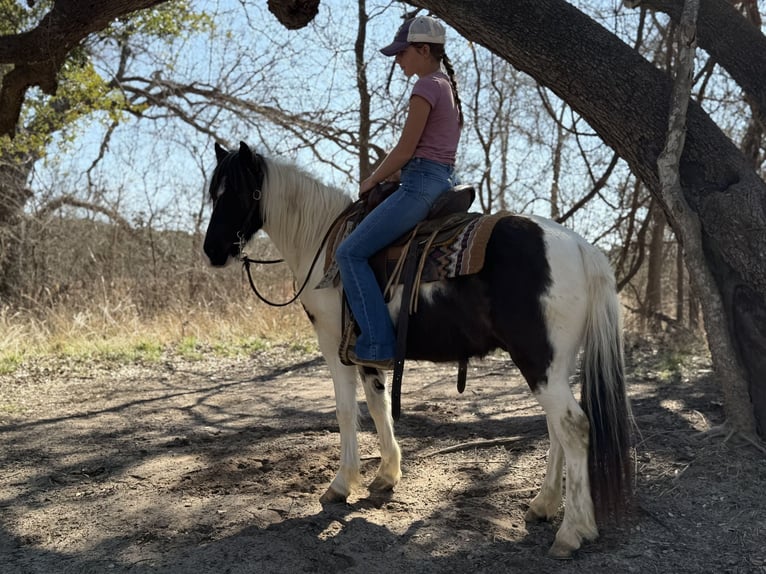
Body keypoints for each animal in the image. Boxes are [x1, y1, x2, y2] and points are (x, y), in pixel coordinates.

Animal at [203, 141, 633, 558]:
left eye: (236, 192)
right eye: (213, 193)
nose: (211, 251)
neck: (323, 246)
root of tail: (579, 247)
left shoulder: (332, 343)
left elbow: (345, 412)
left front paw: (341, 484)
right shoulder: (365, 351)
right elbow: (378, 406)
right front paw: (385, 475)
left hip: (538, 361)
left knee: (572, 427)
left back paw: (572, 532)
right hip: (555, 365)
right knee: (556, 428)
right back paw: (543, 506)